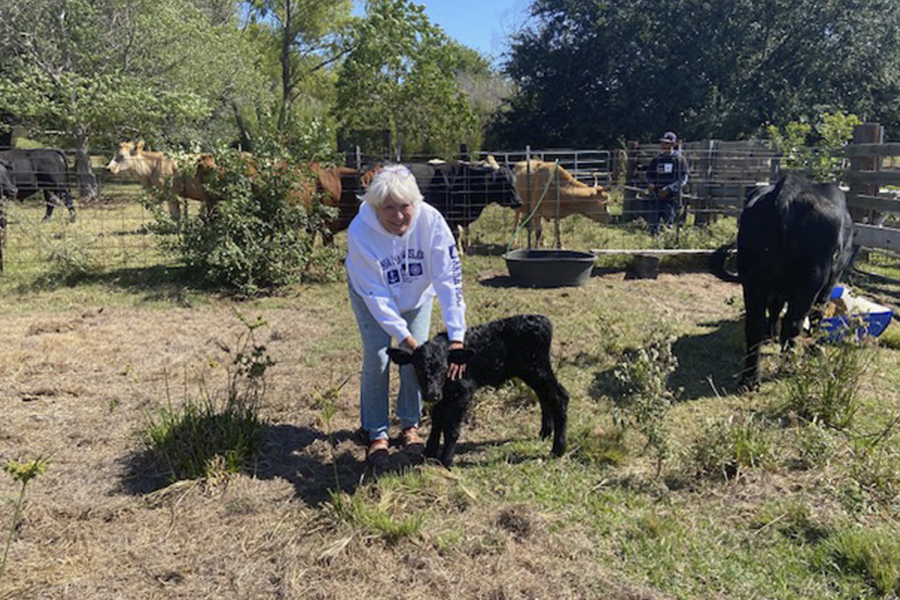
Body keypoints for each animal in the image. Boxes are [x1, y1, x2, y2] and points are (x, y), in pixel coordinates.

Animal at [386, 314, 568, 468]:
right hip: (531, 371)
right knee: (545, 396)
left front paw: (445, 460)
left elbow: (452, 428)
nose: (431, 394)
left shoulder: (463, 393)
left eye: (444, 367)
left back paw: (558, 449)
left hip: (537, 368)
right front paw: (429, 453)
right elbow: (437, 421)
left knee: (559, 396)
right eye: (417, 368)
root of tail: (541, 319)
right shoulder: (444, 396)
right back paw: (545, 433)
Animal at [736, 173, 856, 390]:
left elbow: (775, 308)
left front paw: (772, 336)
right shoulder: (831, 280)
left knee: (755, 324)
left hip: (753, 280)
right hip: (809, 283)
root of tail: (788, 188)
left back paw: (751, 379)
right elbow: (818, 314)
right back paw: (789, 366)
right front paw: (815, 348)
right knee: (792, 324)